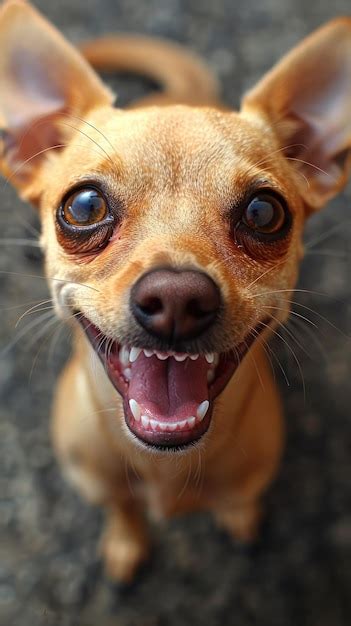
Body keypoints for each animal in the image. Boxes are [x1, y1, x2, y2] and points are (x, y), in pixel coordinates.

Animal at [0, 0, 351, 580]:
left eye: (264, 212)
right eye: (84, 206)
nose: (177, 299)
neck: (163, 467)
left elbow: (238, 500)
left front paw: (239, 518)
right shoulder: (101, 486)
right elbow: (122, 508)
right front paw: (126, 542)